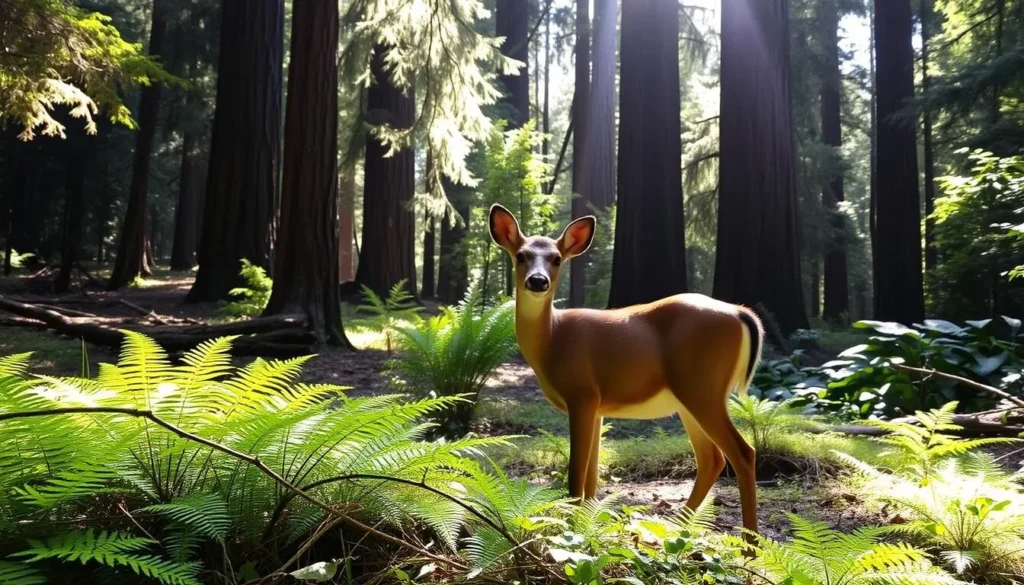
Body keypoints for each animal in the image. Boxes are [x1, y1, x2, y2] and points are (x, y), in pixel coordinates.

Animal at [488, 204, 764, 537]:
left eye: (556, 258)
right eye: (521, 255)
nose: (538, 280)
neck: (553, 340)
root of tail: (739, 312)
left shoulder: (581, 394)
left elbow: (575, 474)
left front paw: (572, 528)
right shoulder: (597, 406)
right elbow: (592, 478)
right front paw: (586, 527)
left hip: (703, 387)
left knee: (743, 453)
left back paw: (751, 542)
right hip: (691, 397)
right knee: (712, 458)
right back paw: (676, 528)